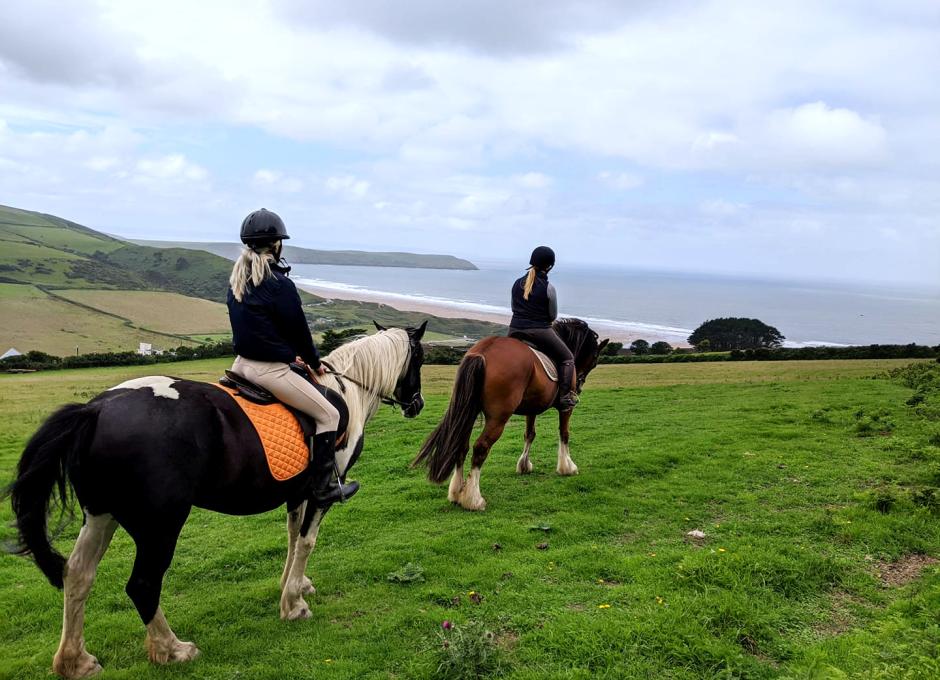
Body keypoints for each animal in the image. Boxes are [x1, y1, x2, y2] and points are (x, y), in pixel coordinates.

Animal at [4, 324, 426, 680]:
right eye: (420, 358)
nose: (417, 404)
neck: (348, 391)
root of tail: (94, 409)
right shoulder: (321, 493)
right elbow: (307, 541)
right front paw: (293, 606)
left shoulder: (295, 492)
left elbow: (292, 538)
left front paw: (294, 585)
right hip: (161, 526)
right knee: (143, 585)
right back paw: (173, 650)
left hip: (100, 515)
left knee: (77, 575)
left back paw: (75, 661)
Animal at [414, 318, 604, 510]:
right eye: (595, 360)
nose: (579, 386)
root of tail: (484, 351)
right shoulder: (566, 409)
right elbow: (564, 434)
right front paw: (567, 467)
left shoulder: (531, 409)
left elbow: (529, 434)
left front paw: (524, 466)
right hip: (498, 418)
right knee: (481, 447)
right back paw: (473, 499)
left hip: (469, 411)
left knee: (461, 445)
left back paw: (456, 493)